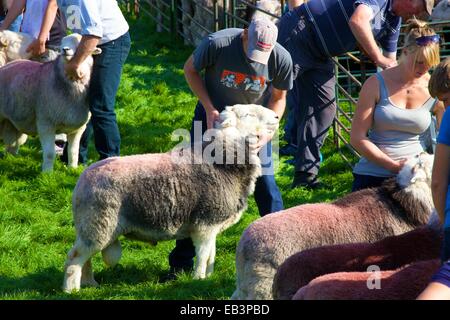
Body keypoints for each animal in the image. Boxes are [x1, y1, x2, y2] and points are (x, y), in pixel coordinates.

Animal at [0, 33, 101, 171]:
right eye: (62, 43)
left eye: (79, 42)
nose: (65, 49)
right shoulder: (46, 123)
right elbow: (49, 153)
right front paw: (47, 173)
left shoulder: (78, 128)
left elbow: (73, 151)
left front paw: (72, 169)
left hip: (13, 123)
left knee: (13, 144)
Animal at [62, 104, 282, 292]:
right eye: (247, 114)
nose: (276, 116)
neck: (223, 159)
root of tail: (82, 179)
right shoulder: (205, 224)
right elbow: (203, 255)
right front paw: (198, 279)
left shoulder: (213, 225)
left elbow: (211, 254)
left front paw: (208, 278)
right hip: (98, 223)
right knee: (75, 257)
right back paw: (71, 289)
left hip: (91, 225)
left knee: (85, 259)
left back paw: (90, 284)